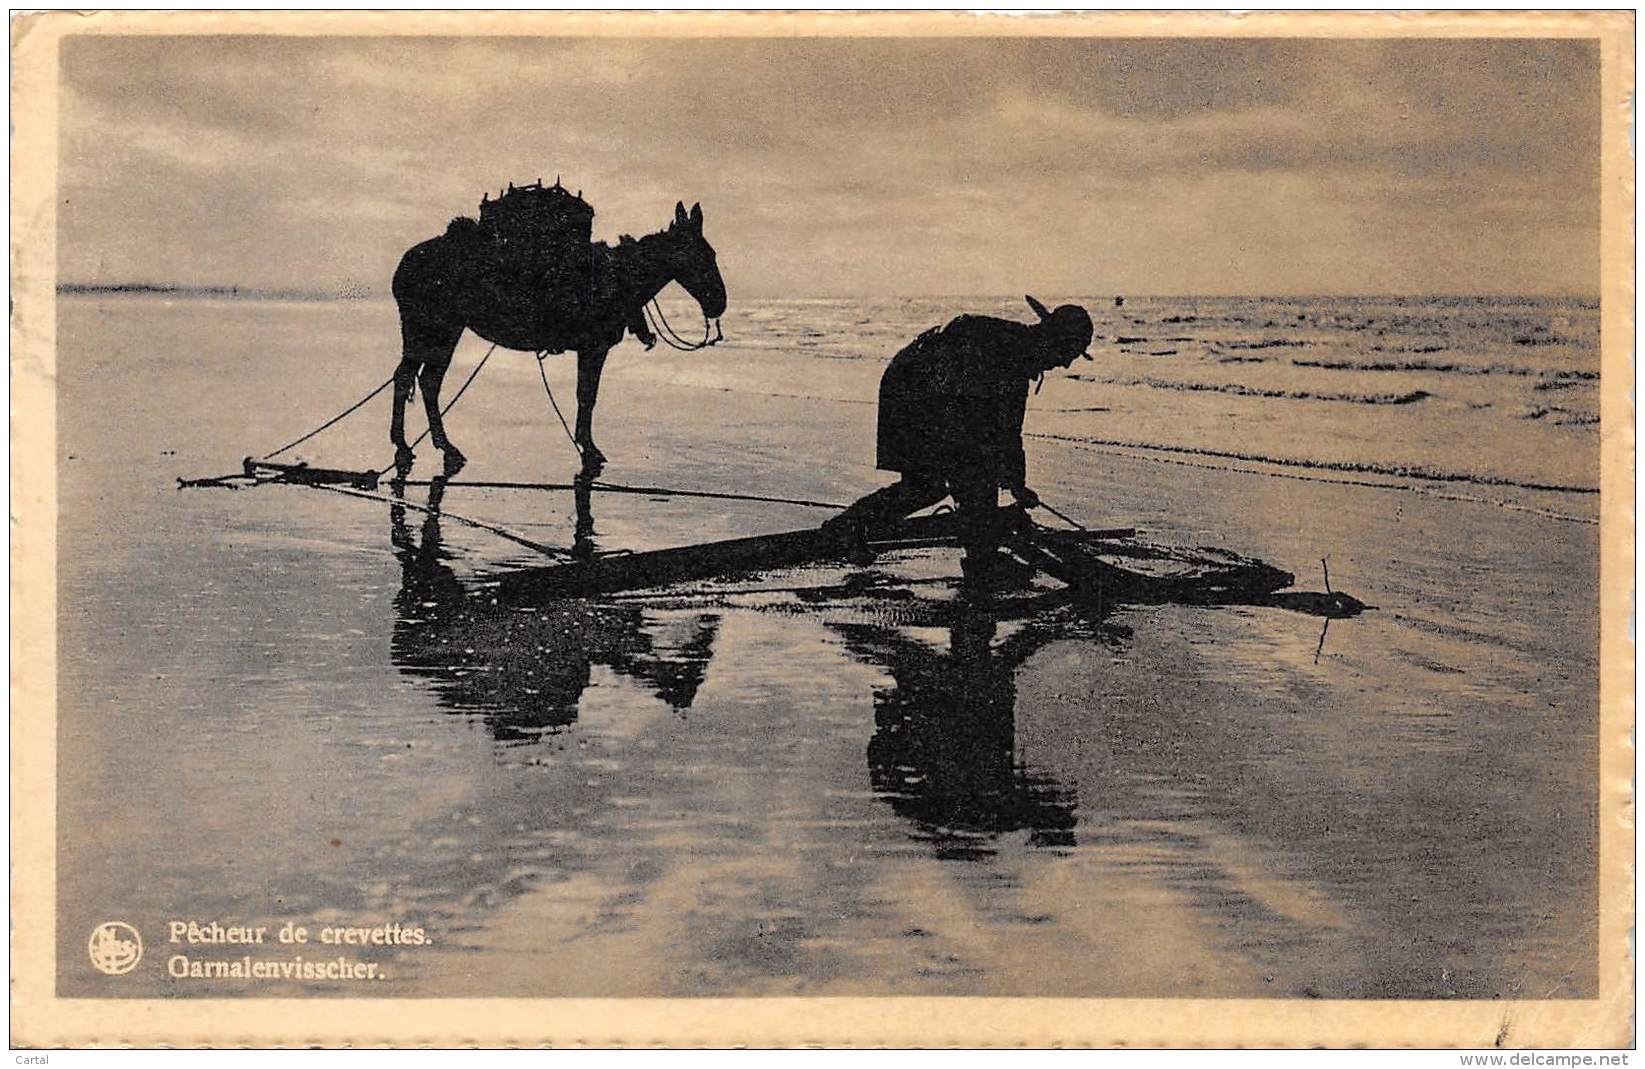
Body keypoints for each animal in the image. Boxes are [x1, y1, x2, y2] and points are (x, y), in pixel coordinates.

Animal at [391, 199, 727, 473]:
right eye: (702, 255)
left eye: (711, 253)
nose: (719, 303)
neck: (618, 277)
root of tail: (407, 261)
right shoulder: (594, 348)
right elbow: (587, 396)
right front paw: (589, 449)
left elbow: (586, 396)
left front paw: (586, 445)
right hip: (432, 329)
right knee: (411, 379)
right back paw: (409, 447)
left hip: (441, 332)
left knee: (424, 380)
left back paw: (436, 447)